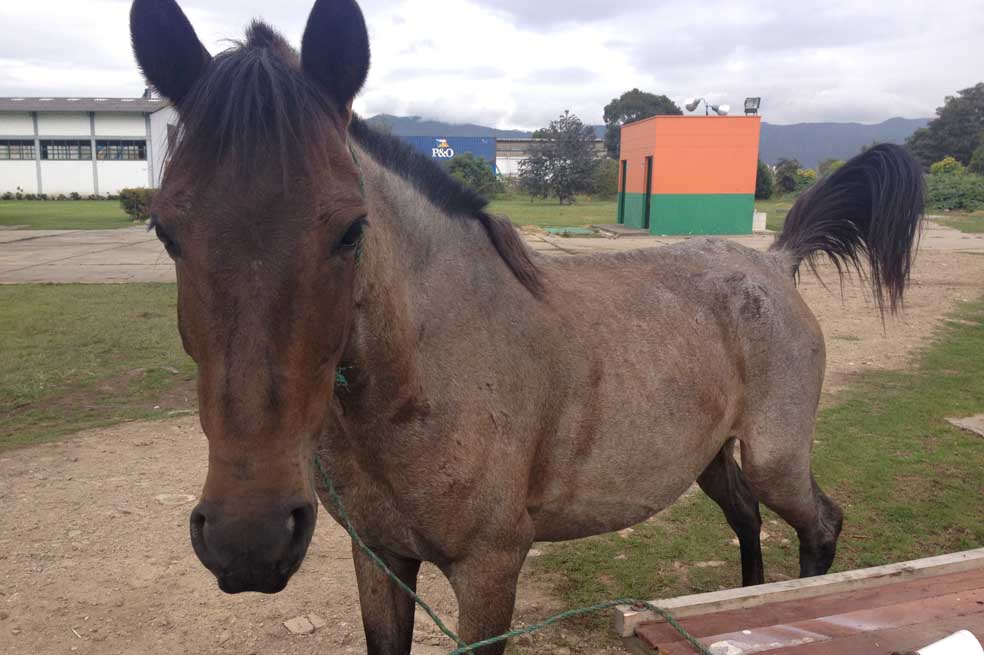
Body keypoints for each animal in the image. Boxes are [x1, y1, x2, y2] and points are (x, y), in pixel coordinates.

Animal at [129, 1, 924, 653]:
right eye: (166, 230)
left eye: (351, 230)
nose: (248, 537)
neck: (430, 372)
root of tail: (775, 261)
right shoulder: (380, 558)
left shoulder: (488, 571)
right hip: (708, 458)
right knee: (748, 523)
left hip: (774, 455)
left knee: (819, 526)